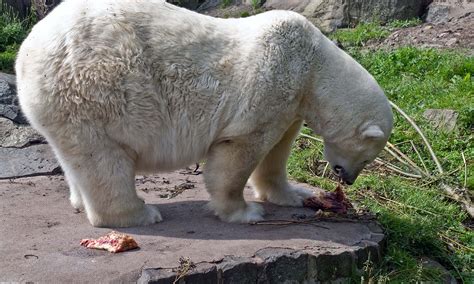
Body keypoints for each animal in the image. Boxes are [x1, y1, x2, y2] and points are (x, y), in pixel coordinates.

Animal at [14, 0, 392, 226]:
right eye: (368, 156)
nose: (348, 179)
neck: (314, 64)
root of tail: (26, 54)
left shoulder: (291, 103)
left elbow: (276, 151)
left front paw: (294, 195)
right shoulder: (273, 80)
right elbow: (239, 150)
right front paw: (244, 211)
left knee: (75, 156)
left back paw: (80, 200)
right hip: (94, 90)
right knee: (105, 160)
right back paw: (141, 213)